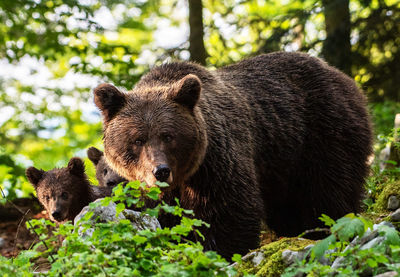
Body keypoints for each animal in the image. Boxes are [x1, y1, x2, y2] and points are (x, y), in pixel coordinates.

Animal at [92, 51, 374, 258]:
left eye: (168, 135)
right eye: (137, 140)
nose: (160, 171)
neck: (183, 178)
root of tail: (342, 76)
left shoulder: (216, 162)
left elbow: (228, 212)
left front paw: (220, 251)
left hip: (324, 132)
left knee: (329, 188)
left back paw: (323, 226)